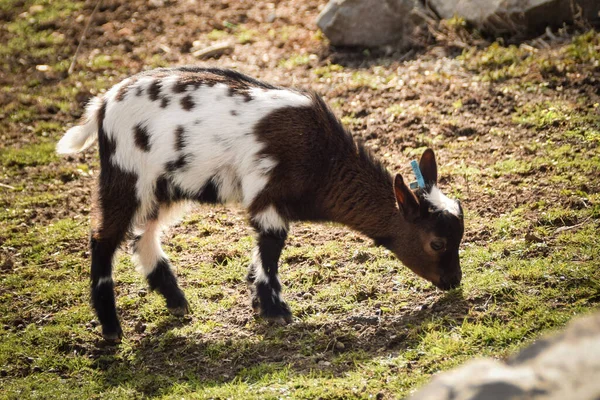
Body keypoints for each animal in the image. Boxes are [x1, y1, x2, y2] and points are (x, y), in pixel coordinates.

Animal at [56, 67, 464, 342]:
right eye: (436, 243)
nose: (454, 282)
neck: (323, 158)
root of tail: (103, 105)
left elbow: (263, 253)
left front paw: (259, 303)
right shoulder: (267, 194)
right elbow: (270, 248)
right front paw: (274, 310)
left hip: (163, 187)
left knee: (143, 235)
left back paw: (175, 301)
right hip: (127, 176)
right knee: (103, 237)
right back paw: (111, 328)